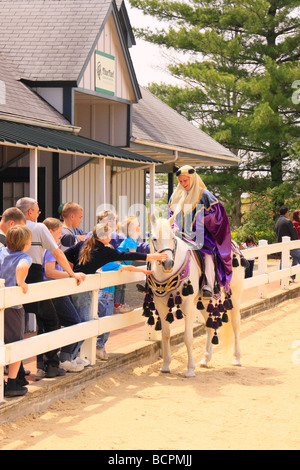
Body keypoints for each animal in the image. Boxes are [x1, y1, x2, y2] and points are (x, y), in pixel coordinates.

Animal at [146, 216, 245, 378]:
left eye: (172, 237)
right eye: (154, 238)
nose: (168, 263)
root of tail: (234, 246)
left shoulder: (187, 304)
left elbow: (188, 337)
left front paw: (190, 369)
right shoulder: (160, 303)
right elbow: (165, 335)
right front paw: (165, 365)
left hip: (235, 293)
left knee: (236, 323)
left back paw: (236, 358)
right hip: (205, 302)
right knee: (210, 326)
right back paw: (205, 359)